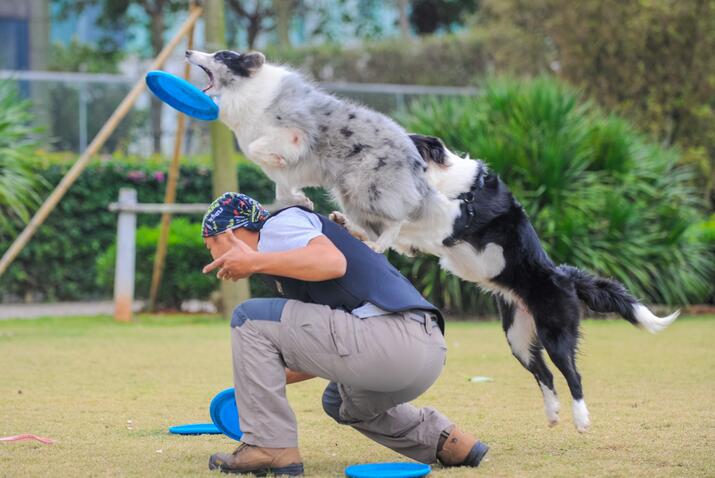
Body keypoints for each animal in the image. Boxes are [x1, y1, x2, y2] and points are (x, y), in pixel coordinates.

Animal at [187, 48, 450, 250]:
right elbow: (281, 192)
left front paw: (277, 160)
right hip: (350, 195)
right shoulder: (286, 173)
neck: (244, 89)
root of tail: (414, 155)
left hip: (366, 188)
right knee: (374, 226)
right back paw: (351, 228)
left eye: (221, 56)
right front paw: (303, 200)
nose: (188, 52)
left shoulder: (294, 134)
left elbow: (255, 149)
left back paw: (376, 245)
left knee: (397, 221)